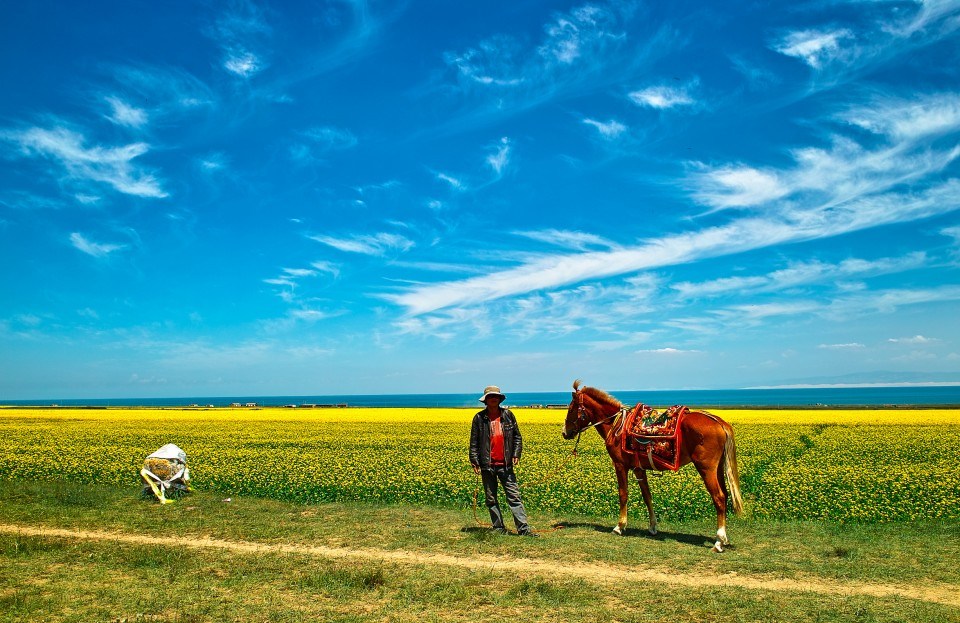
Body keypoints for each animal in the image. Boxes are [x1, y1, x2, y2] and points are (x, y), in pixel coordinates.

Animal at [564, 380, 744, 552]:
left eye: (571, 408)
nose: (565, 432)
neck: (616, 426)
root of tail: (719, 422)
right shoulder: (639, 469)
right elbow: (647, 496)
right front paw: (652, 526)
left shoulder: (620, 465)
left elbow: (623, 494)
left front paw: (620, 526)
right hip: (718, 468)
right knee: (725, 495)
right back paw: (724, 539)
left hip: (706, 468)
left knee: (719, 497)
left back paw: (719, 541)